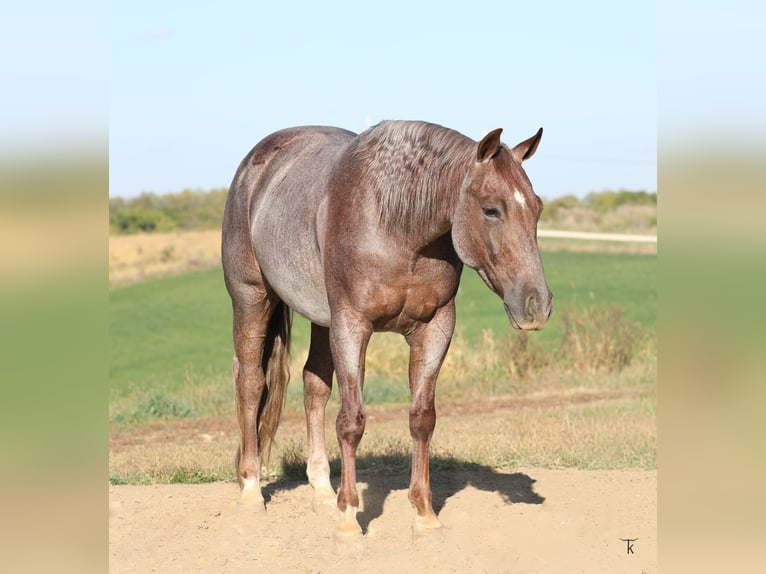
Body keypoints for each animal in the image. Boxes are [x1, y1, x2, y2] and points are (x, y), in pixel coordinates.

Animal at [221, 120, 552, 539]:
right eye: (491, 209)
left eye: (537, 207)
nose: (537, 305)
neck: (397, 225)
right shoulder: (351, 325)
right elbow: (351, 422)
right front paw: (348, 522)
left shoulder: (435, 327)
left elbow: (422, 418)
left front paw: (425, 516)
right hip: (252, 299)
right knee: (250, 383)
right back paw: (251, 491)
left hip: (321, 318)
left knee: (314, 387)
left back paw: (321, 490)